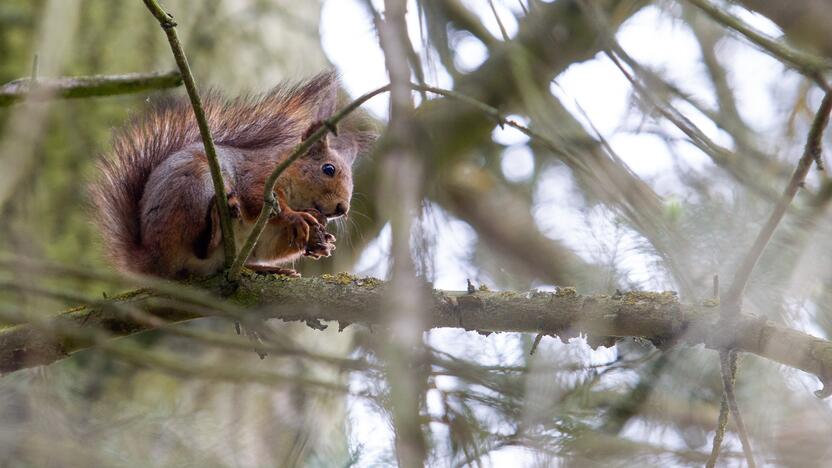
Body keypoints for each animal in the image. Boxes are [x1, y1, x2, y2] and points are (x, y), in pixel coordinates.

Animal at [91, 72, 374, 278]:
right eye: (328, 169)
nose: (342, 208)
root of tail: (151, 260)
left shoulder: (268, 237)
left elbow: (276, 243)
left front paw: (320, 240)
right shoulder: (259, 175)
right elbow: (258, 199)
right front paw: (297, 217)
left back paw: (267, 268)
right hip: (194, 190)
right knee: (201, 246)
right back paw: (219, 219)